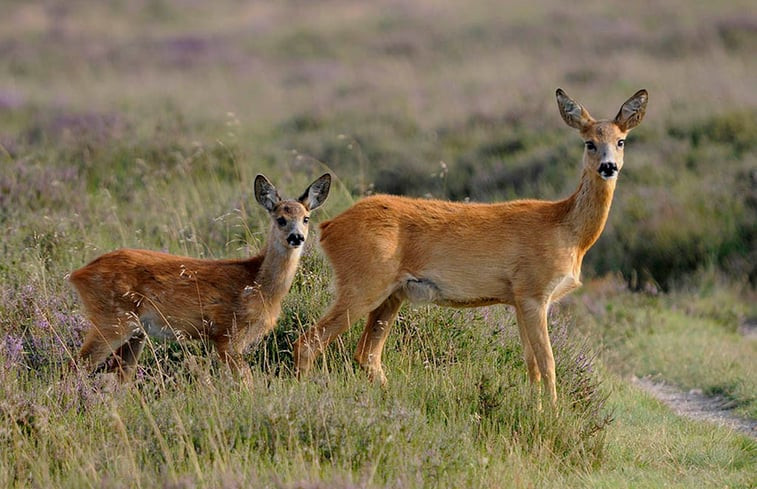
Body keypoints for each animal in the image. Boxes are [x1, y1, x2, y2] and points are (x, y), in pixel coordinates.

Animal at [69, 173, 330, 382]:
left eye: (306, 218)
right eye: (280, 219)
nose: (297, 237)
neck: (257, 284)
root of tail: (78, 274)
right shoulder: (226, 334)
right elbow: (246, 380)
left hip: (135, 333)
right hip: (111, 319)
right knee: (75, 366)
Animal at [292, 87, 648, 404]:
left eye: (621, 141)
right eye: (589, 143)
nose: (608, 167)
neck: (567, 230)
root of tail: (328, 227)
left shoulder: (517, 299)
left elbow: (532, 366)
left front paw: (535, 411)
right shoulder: (534, 293)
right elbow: (548, 365)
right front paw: (552, 418)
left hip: (391, 295)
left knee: (367, 354)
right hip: (362, 284)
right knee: (308, 342)